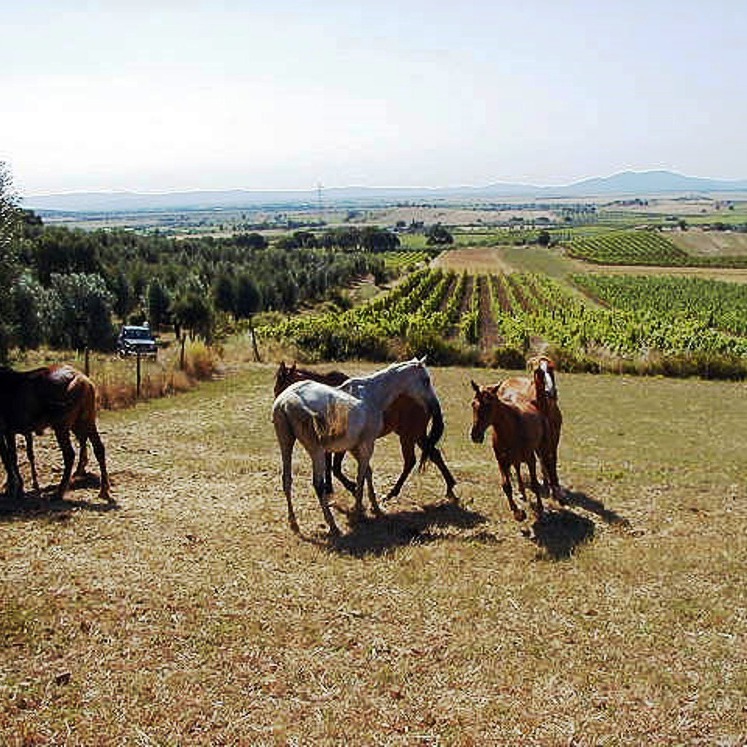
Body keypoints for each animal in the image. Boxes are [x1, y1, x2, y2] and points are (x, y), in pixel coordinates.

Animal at [0, 364, 112, 502]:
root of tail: (82, 380)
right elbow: (9, 457)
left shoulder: (7, 430)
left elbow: (9, 458)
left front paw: (15, 487)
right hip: (87, 421)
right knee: (98, 448)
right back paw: (103, 490)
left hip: (61, 426)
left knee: (70, 454)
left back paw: (59, 492)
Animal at [270, 358, 442, 536]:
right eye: (426, 380)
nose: (434, 404)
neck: (371, 394)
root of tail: (286, 400)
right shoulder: (366, 445)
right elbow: (360, 475)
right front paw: (359, 509)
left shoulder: (354, 447)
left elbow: (366, 473)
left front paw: (374, 507)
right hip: (316, 452)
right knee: (318, 485)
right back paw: (333, 525)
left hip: (286, 444)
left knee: (287, 480)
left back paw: (293, 522)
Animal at [468, 380, 556, 520]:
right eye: (473, 404)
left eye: (489, 405)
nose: (475, 435)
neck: (511, 428)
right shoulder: (501, 461)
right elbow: (506, 486)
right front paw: (516, 511)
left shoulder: (530, 459)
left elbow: (534, 484)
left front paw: (540, 508)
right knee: (517, 468)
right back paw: (522, 492)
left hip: (541, 448)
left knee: (544, 463)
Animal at [500, 356, 564, 502]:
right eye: (537, 371)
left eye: (551, 368)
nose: (551, 392)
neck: (545, 411)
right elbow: (544, 460)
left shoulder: (554, 438)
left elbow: (552, 459)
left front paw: (555, 487)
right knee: (517, 464)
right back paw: (520, 488)